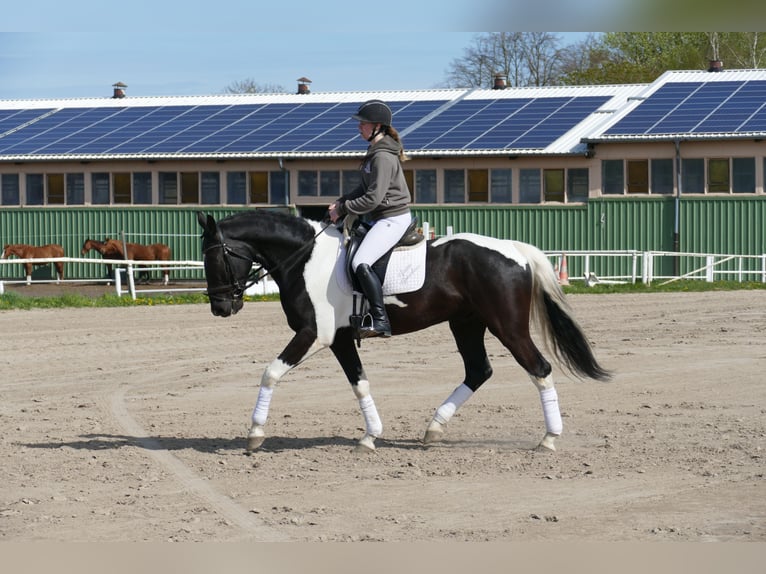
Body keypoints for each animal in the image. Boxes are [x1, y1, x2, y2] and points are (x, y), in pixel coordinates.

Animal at [196, 209, 612, 456]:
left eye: (214, 256)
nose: (220, 308)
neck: (305, 257)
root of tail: (515, 250)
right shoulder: (341, 340)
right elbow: (359, 383)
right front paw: (370, 436)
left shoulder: (315, 334)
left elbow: (270, 373)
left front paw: (254, 433)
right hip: (466, 324)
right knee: (478, 371)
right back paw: (433, 430)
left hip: (506, 326)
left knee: (539, 369)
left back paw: (549, 438)